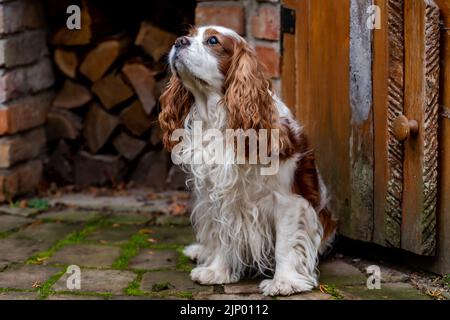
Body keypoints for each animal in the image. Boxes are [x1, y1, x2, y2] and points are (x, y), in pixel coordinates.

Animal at [156, 25, 336, 296]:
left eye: (212, 41)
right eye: (190, 34)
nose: (179, 41)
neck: (222, 118)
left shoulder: (289, 201)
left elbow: (285, 243)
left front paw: (284, 281)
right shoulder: (219, 196)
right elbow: (223, 234)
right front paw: (217, 271)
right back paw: (201, 251)